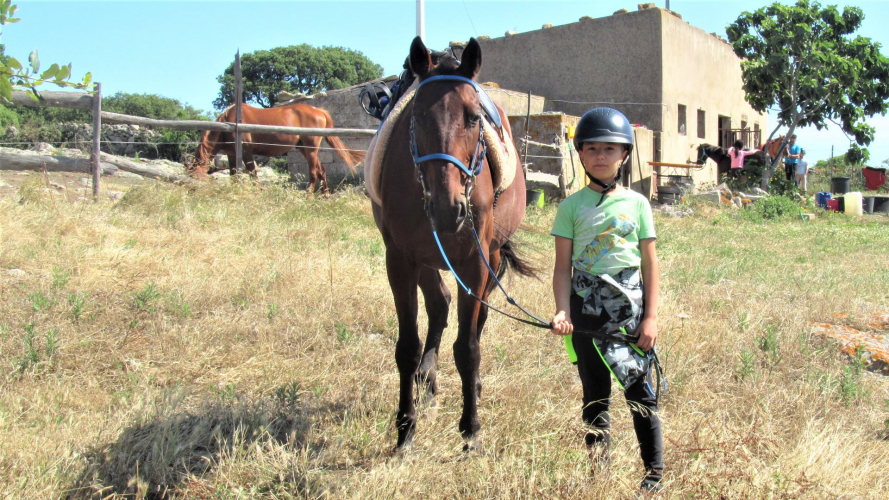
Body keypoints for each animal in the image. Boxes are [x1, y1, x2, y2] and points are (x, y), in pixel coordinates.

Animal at [188, 103, 365, 195]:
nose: (191, 195)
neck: (228, 123)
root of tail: (318, 110)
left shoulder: (246, 152)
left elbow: (252, 174)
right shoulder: (232, 155)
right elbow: (234, 176)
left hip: (310, 148)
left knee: (314, 172)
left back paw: (309, 197)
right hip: (303, 147)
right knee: (321, 170)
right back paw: (325, 196)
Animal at [372, 36, 535, 452]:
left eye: (474, 118)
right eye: (416, 117)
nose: (448, 210)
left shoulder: (474, 262)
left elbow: (468, 347)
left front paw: (470, 428)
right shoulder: (400, 260)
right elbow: (407, 347)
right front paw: (405, 429)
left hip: (490, 258)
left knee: (475, 321)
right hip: (428, 260)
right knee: (439, 304)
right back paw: (427, 379)